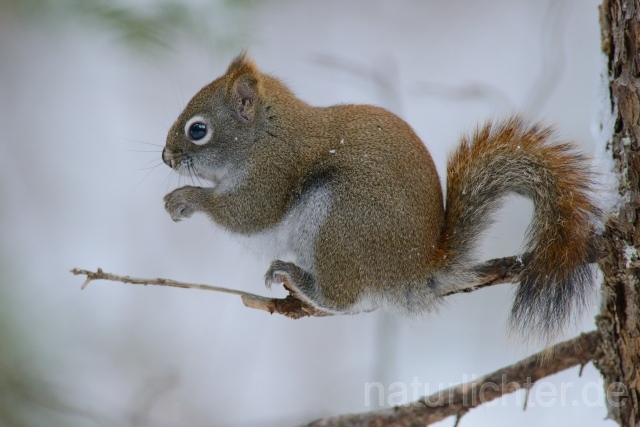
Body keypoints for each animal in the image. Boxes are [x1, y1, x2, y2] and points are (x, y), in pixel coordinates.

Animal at [162, 53, 604, 342]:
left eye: (197, 130)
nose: (166, 158)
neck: (262, 134)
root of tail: (415, 269)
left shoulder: (274, 171)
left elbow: (247, 213)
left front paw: (186, 198)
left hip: (341, 223)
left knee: (344, 298)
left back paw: (300, 280)